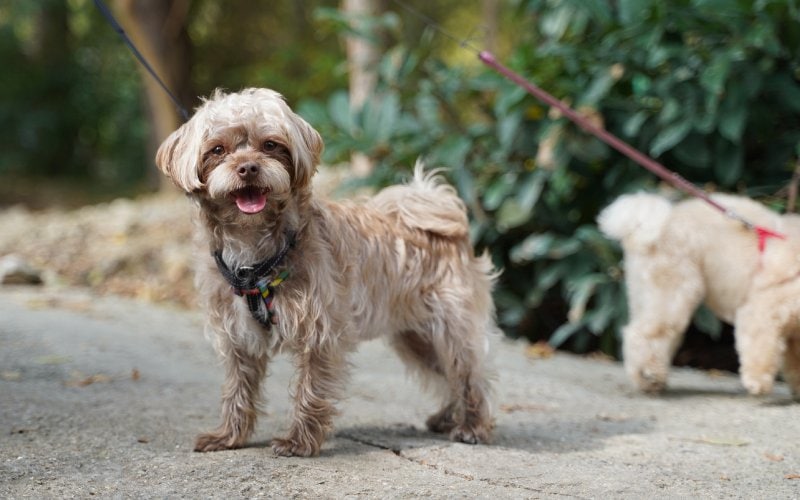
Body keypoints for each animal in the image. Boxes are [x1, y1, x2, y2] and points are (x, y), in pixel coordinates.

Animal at [153, 88, 496, 456]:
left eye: (270, 145)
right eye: (218, 150)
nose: (247, 167)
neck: (255, 252)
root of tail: (443, 218)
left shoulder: (319, 334)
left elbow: (311, 390)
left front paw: (299, 442)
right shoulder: (238, 339)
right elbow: (237, 391)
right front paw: (229, 436)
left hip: (450, 329)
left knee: (469, 375)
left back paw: (472, 425)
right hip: (416, 338)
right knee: (447, 376)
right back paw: (447, 417)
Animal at [596, 191, 800, 398]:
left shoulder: (794, 334)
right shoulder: (762, 312)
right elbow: (761, 348)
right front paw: (758, 383)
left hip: (647, 294)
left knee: (653, 335)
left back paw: (650, 379)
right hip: (674, 291)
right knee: (644, 334)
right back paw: (649, 374)